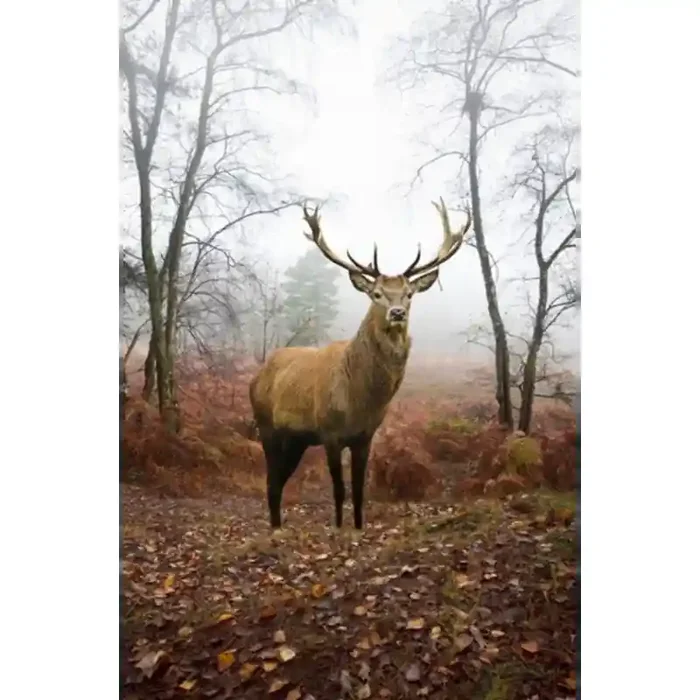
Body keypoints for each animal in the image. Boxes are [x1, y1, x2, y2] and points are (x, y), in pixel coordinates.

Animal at [249, 198, 471, 530]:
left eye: (409, 294)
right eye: (376, 293)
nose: (397, 313)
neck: (359, 399)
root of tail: (256, 377)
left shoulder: (365, 436)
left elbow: (358, 490)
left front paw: (357, 526)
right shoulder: (329, 432)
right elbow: (339, 490)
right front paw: (339, 528)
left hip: (296, 440)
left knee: (278, 481)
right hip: (267, 428)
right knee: (271, 481)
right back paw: (275, 529)